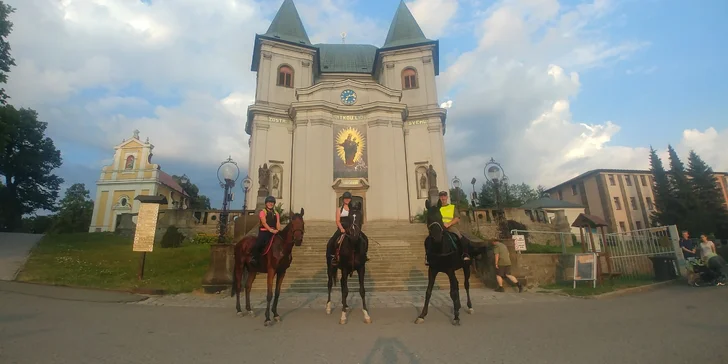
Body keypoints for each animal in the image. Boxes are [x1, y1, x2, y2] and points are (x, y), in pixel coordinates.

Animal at [416, 199, 478, 328]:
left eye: (440, 217)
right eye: (428, 218)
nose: (437, 236)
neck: (440, 247)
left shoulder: (449, 270)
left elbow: (453, 292)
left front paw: (456, 317)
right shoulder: (432, 270)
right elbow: (428, 291)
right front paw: (422, 315)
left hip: (466, 267)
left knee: (466, 285)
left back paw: (469, 307)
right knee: (457, 284)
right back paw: (458, 306)